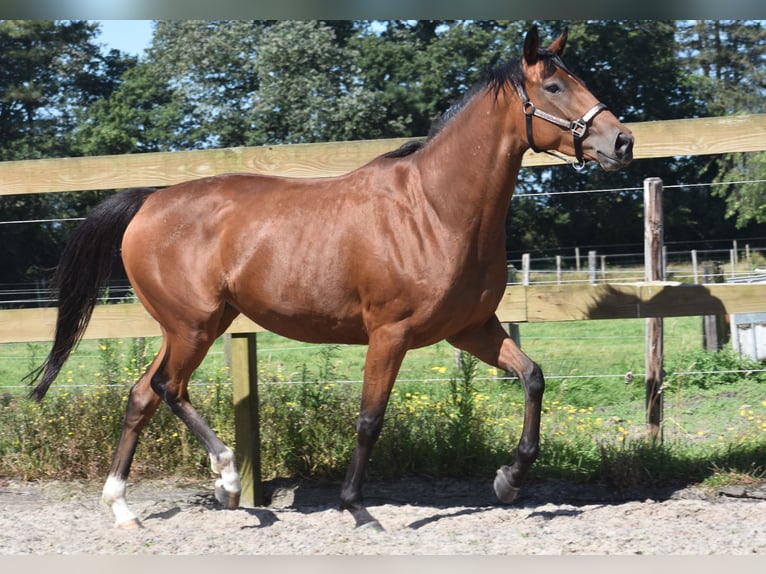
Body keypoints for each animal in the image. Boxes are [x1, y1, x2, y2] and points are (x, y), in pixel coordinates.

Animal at [25, 27, 636, 532]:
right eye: (554, 85)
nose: (622, 142)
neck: (436, 209)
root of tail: (150, 200)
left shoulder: (471, 329)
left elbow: (532, 377)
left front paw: (508, 481)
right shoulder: (389, 334)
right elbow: (370, 419)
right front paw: (357, 508)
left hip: (194, 326)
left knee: (141, 395)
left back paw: (126, 507)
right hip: (192, 326)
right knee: (167, 390)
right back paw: (227, 478)